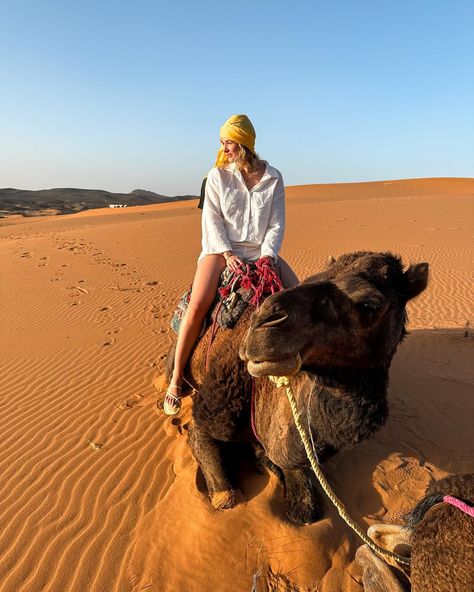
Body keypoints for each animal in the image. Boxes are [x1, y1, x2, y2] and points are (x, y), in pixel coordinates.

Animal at [165, 250, 428, 524]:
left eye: (369, 305)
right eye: (311, 279)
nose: (263, 324)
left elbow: (305, 508)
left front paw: (265, 461)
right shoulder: (208, 417)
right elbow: (227, 498)